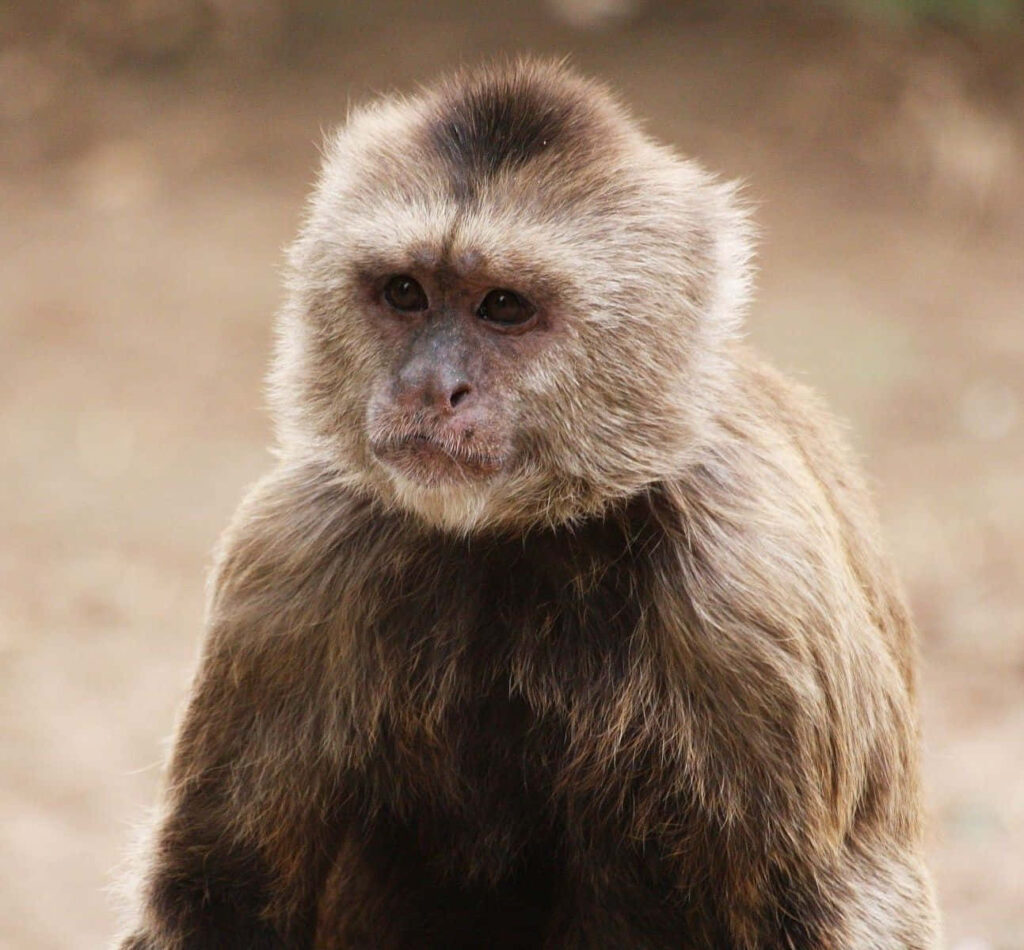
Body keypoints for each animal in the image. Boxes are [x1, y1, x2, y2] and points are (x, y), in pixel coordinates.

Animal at [117, 59, 939, 949]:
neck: (522, 537)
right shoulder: (291, 558)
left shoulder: (755, 597)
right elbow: (218, 900)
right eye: (405, 293)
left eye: (503, 306)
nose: (428, 386)